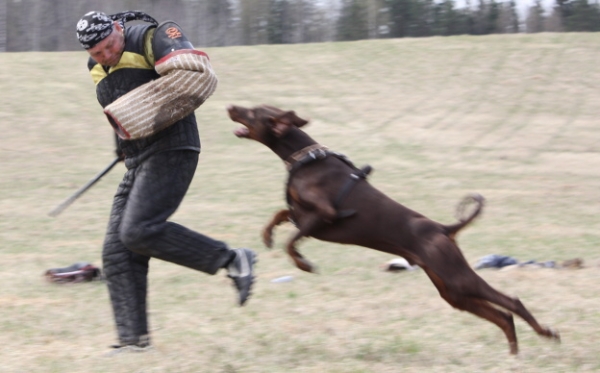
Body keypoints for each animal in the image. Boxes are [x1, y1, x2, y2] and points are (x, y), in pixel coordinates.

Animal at [227, 103, 560, 354]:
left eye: (253, 111)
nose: (231, 106)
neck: (306, 159)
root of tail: (444, 228)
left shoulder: (324, 214)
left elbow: (291, 242)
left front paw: (304, 264)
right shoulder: (301, 213)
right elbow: (280, 215)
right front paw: (267, 236)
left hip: (456, 276)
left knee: (511, 302)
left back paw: (545, 333)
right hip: (450, 290)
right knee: (502, 315)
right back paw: (514, 351)